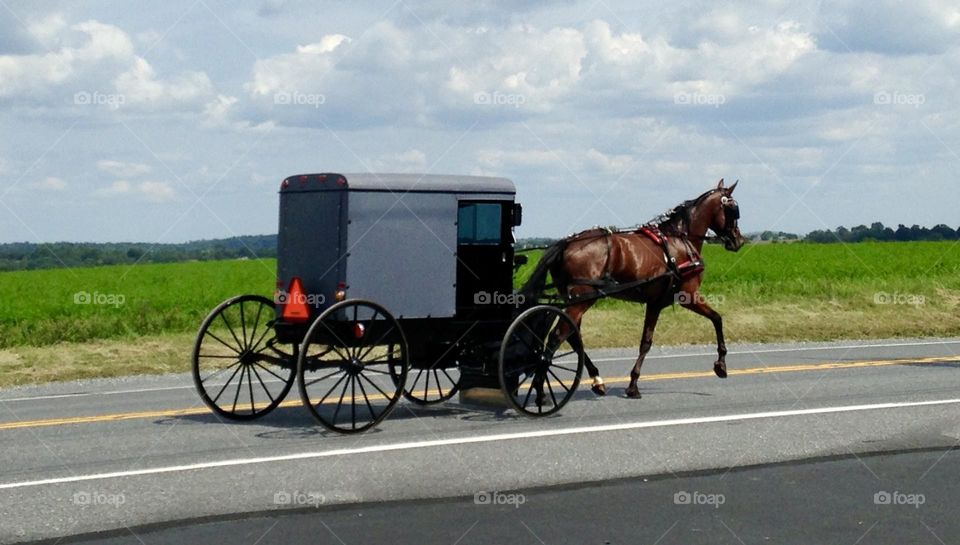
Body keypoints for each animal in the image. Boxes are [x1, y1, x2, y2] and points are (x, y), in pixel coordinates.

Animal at [521, 179, 745, 398]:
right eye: (733, 210)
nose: (739, 240)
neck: (681, 240)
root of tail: (566, 243)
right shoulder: (687, 296)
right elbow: (717, 318)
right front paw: (721, 365)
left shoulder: (655, 303)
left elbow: (646, 340)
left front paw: (633, 383)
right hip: (582, 299)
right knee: (558, 336)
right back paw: (541, 387)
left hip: (576, 299)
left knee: (573, 337)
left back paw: (595, 380)